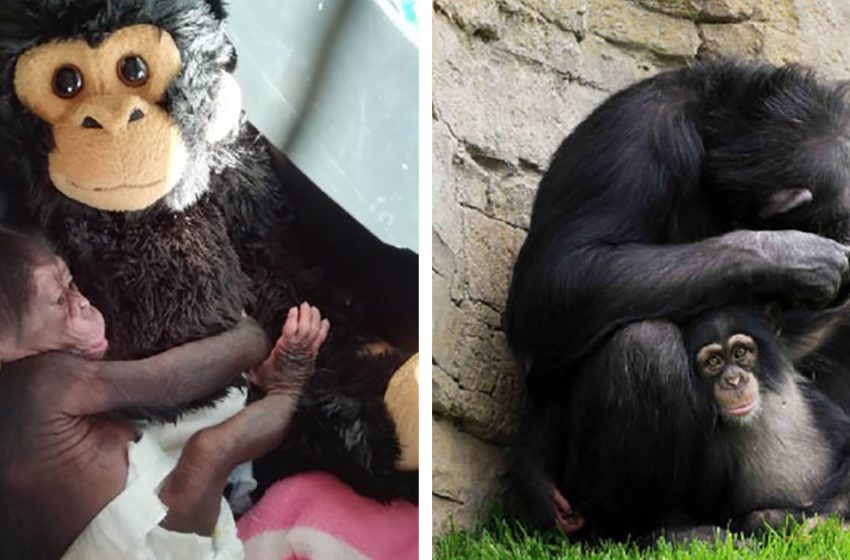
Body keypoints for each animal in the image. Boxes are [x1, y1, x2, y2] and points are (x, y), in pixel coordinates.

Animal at [0, 228, 330, 560]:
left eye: (70, 284)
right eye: (58, 302)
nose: (83, 304)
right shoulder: (63, 374)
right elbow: (169, 378)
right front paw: (248, 326)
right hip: (174, 529)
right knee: (207, 448)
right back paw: (291, 371)